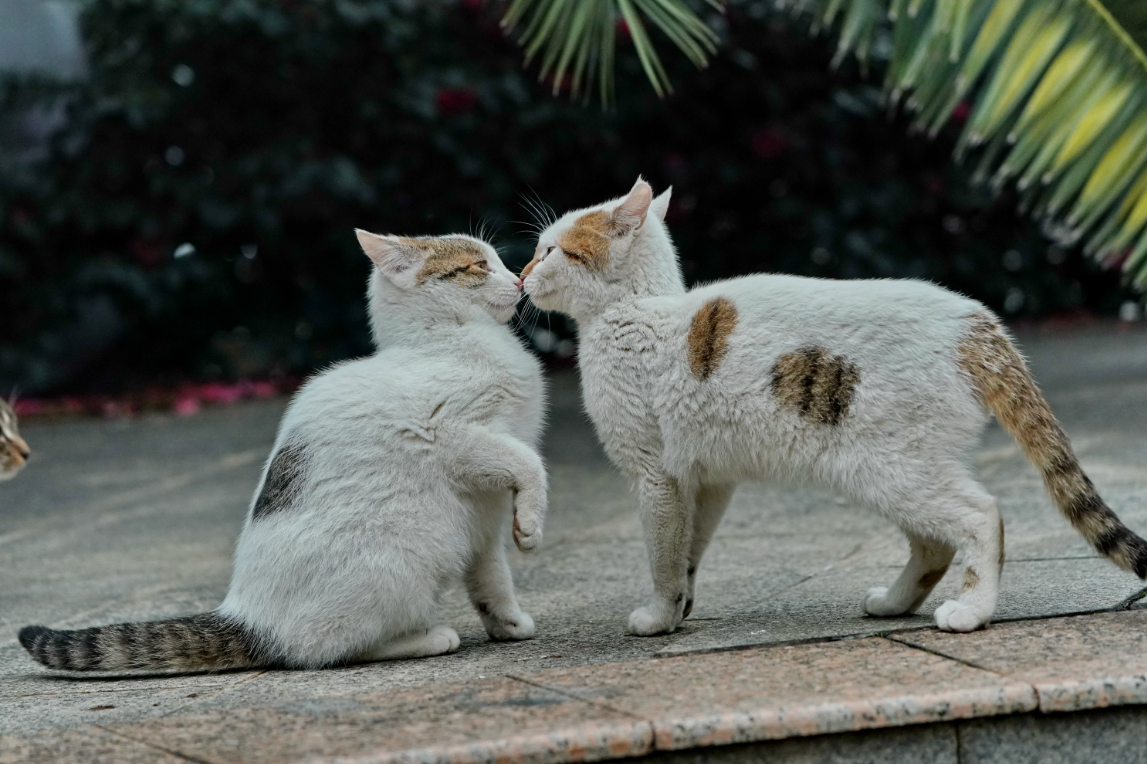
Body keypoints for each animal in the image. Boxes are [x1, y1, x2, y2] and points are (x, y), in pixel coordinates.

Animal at [20, 229, 548, 669]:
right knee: (319, 649)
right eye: (479, 265)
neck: (445, 342)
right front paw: (531, 525)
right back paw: (425, 638)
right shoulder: (452, 435)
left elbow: (491, 575)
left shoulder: (484, 519)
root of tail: (249, 617)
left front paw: (507, 620)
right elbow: (530, 463)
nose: (519, 278)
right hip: (401, 562)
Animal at [523, 176, 1147, 628]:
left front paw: (655, 617)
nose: (524, 273)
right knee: (933, 544)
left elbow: (662, 554)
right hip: (891, 472)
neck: (636, 313)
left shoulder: (656, 475)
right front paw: (679, 613)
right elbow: (688, 551)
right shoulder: (708, 479)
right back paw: (893, 604)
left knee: (981, 516)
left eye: (550, 250)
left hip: (887, 467)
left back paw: (970, 612)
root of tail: (979, 324)